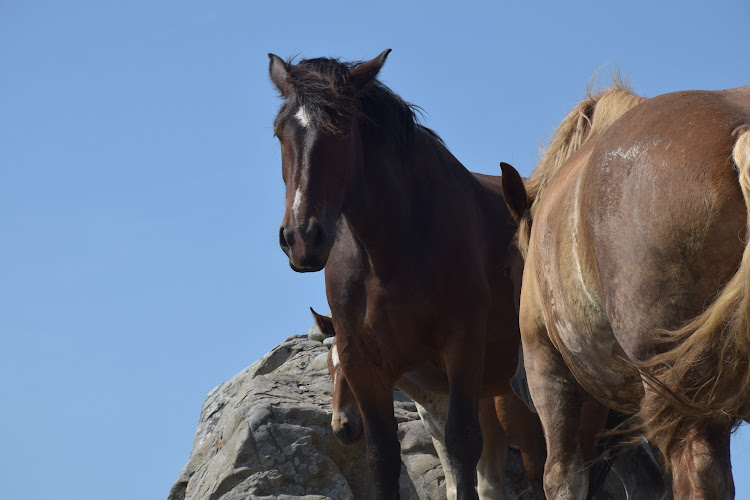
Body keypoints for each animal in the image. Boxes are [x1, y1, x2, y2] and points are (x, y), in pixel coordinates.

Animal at [270, 48, 548, 498]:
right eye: (279, 133)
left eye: (343, 131)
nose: (301, 238)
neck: (389, 257)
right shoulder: (364, 360)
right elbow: (383, 456)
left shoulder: (463, 347)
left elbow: (461, 447)